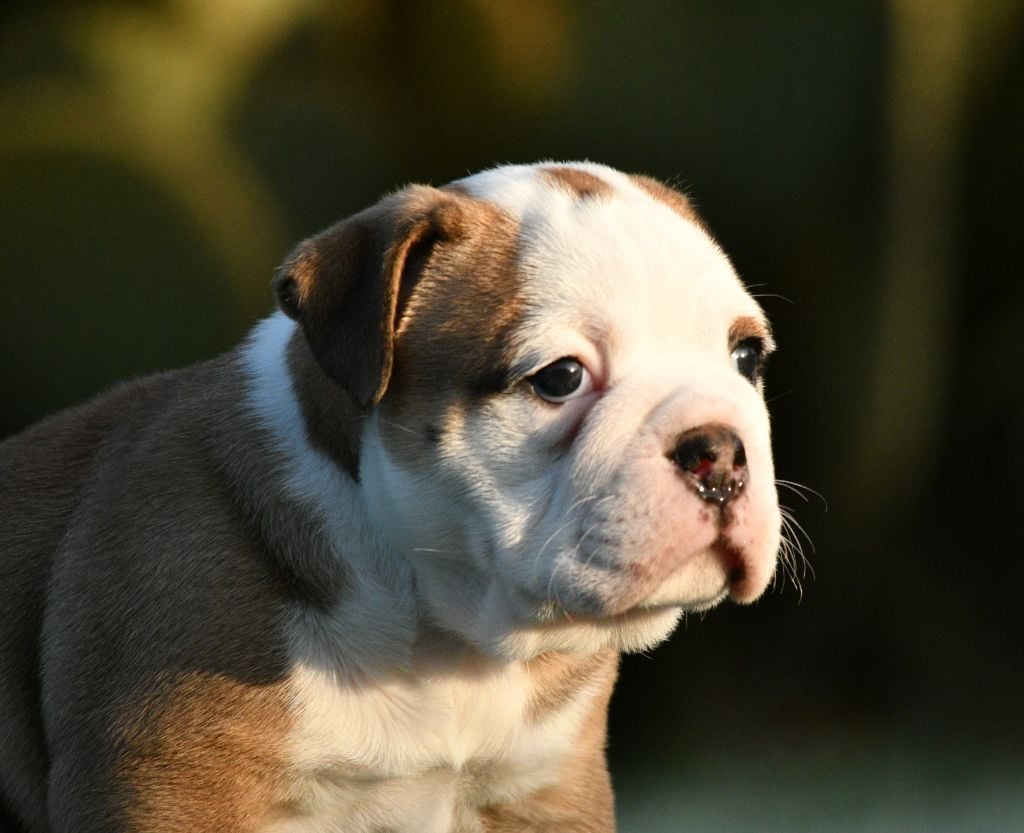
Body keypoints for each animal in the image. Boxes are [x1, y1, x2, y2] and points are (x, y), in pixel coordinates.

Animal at [0, 158, 778, 827]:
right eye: (560, 377)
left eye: (747, 357)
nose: (718, 451)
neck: (445, 637)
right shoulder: (174, 787)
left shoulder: (547, 791)